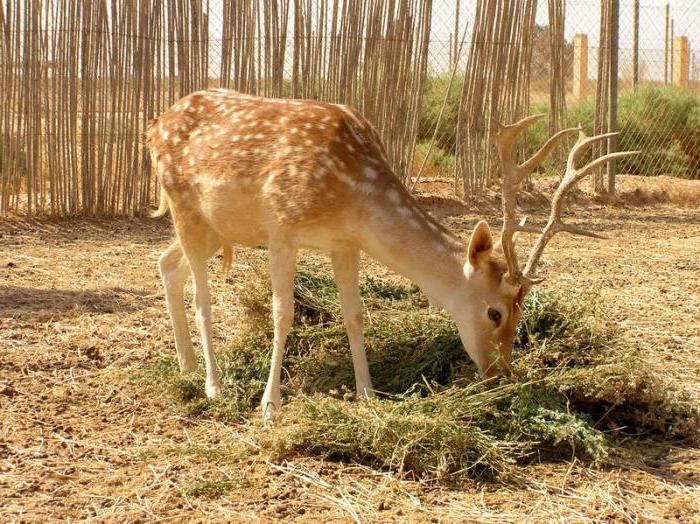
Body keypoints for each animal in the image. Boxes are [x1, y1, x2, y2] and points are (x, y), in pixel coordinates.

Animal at [148, 89, 640, 422]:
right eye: (496, 312)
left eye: (522, 314)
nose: (501, 375)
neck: (354, 197)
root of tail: (154, 124)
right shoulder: (282, 227)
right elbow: (283, 312)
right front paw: (271, 406)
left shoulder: (344, 243)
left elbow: (354, 313)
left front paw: (368, 394)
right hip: (185, 204)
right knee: (201, 296)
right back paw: (212, 384)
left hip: (218, 226)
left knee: (166, 264)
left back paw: (186, 367)